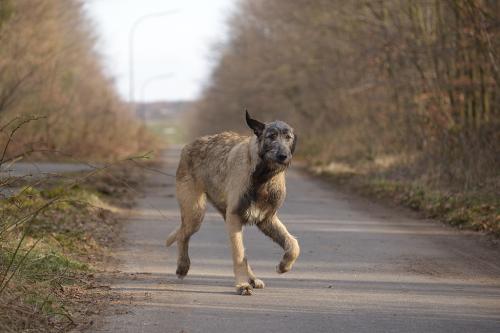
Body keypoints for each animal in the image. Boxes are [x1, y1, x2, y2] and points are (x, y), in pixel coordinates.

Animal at [167, 110, 300, 294]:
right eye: (271, 136)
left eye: (288, 137)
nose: (283, 156)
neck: (262, 177)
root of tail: (189, 145)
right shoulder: (235, 217)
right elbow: (238, 254)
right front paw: (242, 283)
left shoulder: (267, 219)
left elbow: (293, 244)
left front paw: (283, 266)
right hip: (195, 214)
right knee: (182, 235)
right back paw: (182, 266)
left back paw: (253, 278)